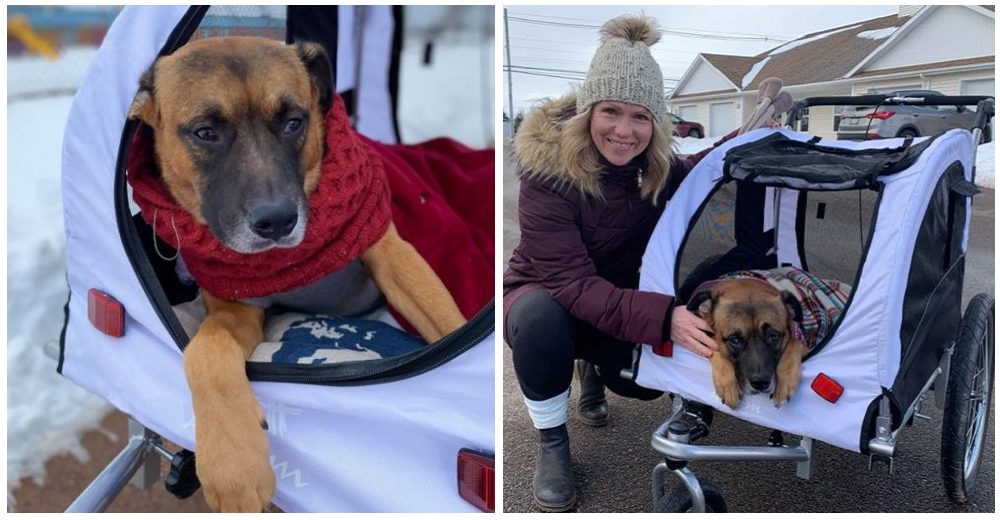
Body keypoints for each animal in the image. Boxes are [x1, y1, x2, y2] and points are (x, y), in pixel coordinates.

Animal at [128, 36, 464, 512]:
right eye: (205, 132)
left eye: (293, 122)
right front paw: (233, 463)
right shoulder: (237, 309)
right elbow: (205, 351)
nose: (276, 221)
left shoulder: (394, 256)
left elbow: (448, 324)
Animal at [688, 280, 804, 410]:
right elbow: (715, 348)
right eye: (734, 340)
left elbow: (794, 344)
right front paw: (728, 386)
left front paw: (784, 383)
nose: (760, 383)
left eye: (773, 337)